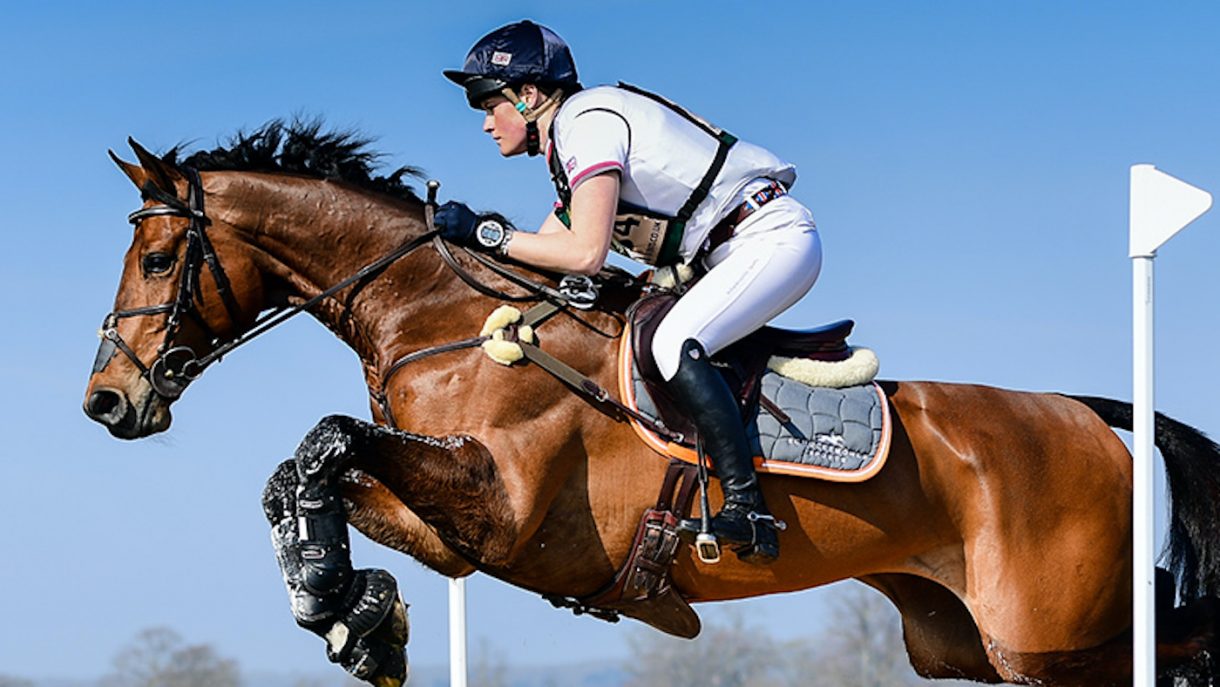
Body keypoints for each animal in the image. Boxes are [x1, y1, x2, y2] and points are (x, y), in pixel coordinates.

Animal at [84, 121, 1220, 686]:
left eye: (158, 258)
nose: (106, 402)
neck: (443, 316)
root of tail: (1084, 416)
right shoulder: (455, 527)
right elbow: (303, 469)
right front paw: (352, 612)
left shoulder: (501, 508)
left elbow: (326, 439)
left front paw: (338, 602)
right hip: (964, 644)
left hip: (1045, 639)